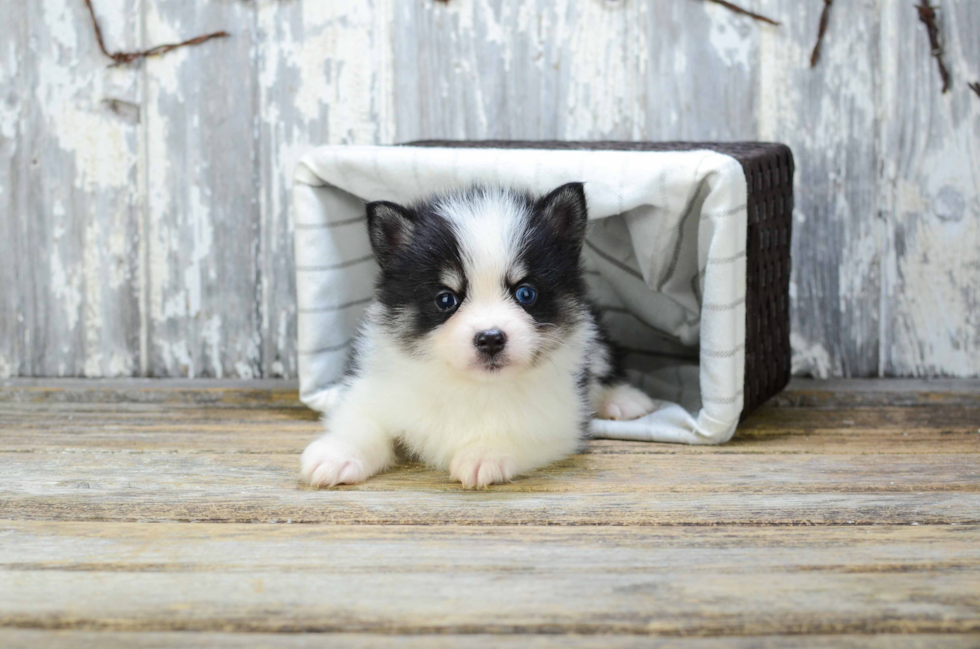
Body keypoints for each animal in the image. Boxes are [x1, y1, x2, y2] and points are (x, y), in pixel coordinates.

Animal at [304, 181, 660, 486]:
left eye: (526, 293)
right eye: (446, 299)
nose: (490, 338)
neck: (473, 386)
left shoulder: (559, 415)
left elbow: (521, 428)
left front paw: (484, 452)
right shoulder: (380, 389)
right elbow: (362, 421)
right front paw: (337, 453)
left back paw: (623, 399)